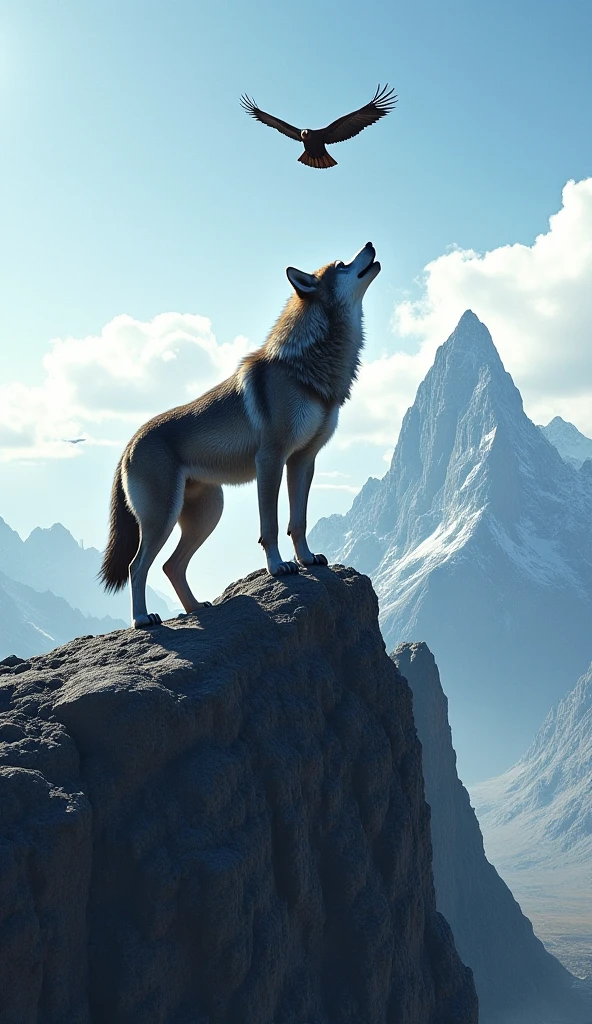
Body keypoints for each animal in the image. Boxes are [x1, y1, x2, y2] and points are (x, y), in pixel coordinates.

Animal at [99, 242, 380, 627]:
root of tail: (130, 442)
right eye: (341, 264)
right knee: (136, 566)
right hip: (163, 520)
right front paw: (279, 567)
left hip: (207, 515)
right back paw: (143, 619)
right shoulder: (271, 459)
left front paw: (307, 559)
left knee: (171, 566)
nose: (369, 245)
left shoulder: (303, 461)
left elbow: (298, 521)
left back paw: (196, 608)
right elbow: (271, 526)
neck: (306, 370)